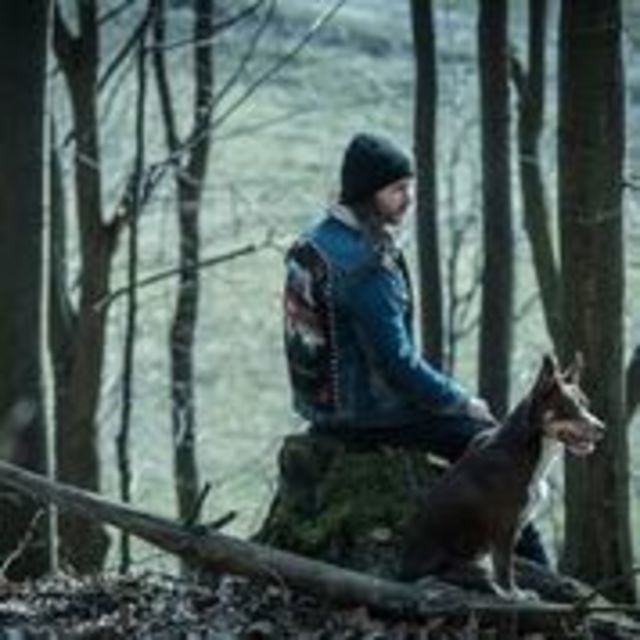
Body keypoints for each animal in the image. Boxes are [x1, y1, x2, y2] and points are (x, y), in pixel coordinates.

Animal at [400, 354, 604, 599]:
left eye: (586, 404)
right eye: (569, 408)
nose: (602, 428)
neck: (529, 448)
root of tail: (404, 573)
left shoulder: (516, 527)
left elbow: (506, 563)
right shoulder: (505, 525)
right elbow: (505, 566)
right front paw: (514, 594)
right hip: (470, 566)